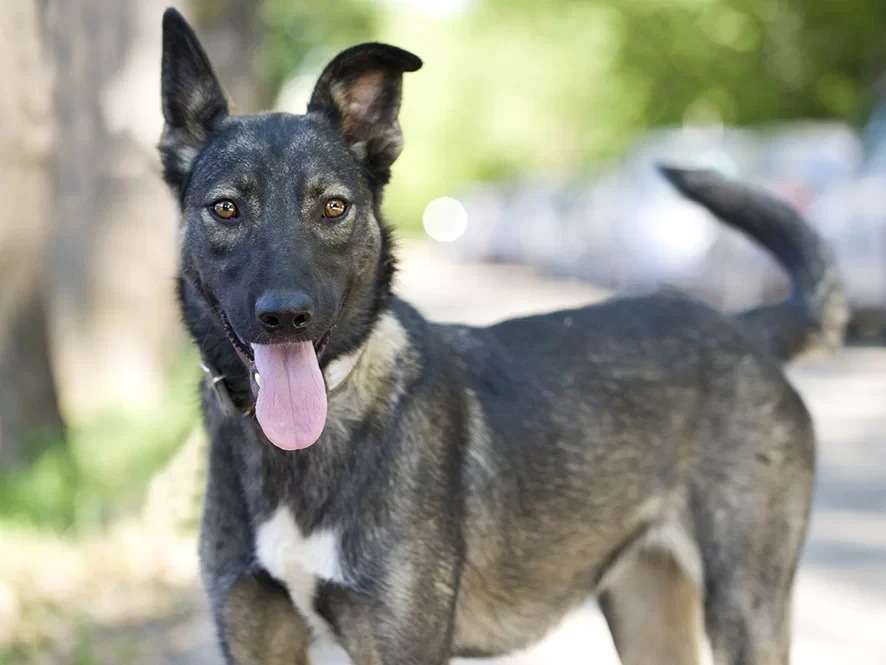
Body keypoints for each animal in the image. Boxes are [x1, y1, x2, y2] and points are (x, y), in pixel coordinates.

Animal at [158, 6, 848, 664]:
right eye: (226, 209)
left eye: (333, 207)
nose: (286, 316)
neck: (302, 444)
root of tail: (745, 327)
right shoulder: (255, 634)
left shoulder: (403, 644)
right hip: (646, 604)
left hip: (745, 605)